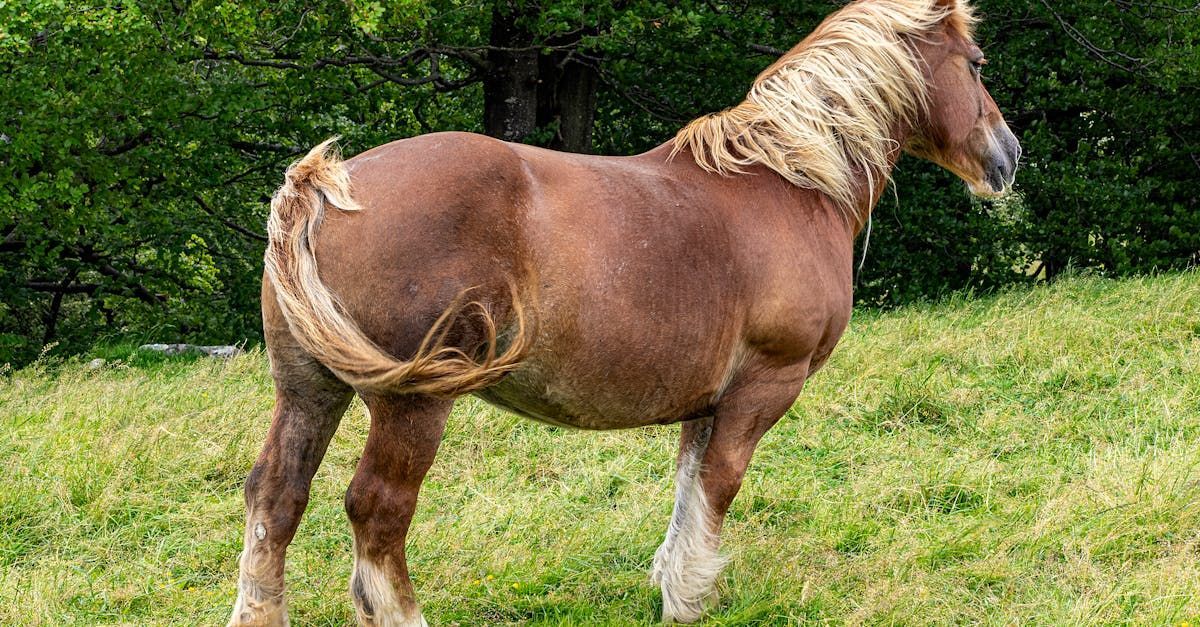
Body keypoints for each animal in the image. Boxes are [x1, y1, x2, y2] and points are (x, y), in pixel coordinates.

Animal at [227, 0, 1021, 624]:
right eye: (977, 63)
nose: (1008, 156)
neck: (788, 181)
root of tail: (323, 186)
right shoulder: (763, 388)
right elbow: (719, 485)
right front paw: (688, 600)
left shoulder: (708, 400)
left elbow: (688, 488)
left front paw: (674, 582)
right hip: (412, 405)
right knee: (377, 511)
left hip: (308, 390)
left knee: (275, 498)